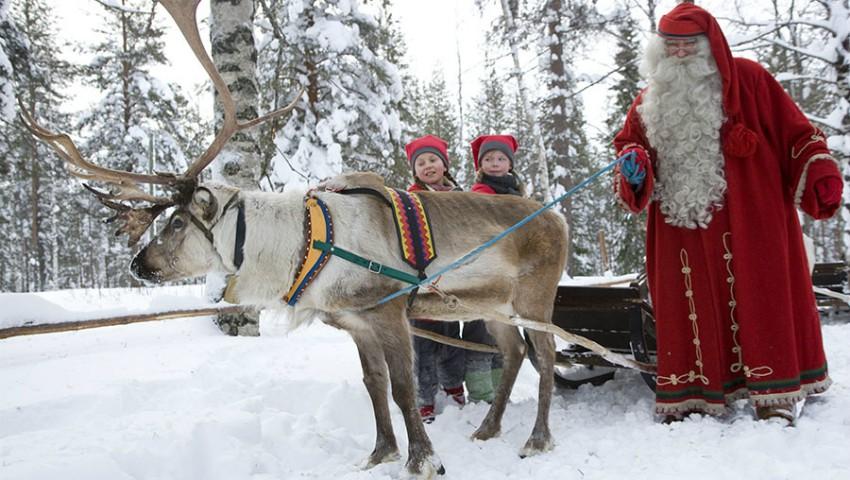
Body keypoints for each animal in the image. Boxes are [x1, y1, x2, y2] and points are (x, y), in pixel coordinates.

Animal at [21, 1, 568, 477]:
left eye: (176, 222)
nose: (139, 264)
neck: (300, 245)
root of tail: (558, 217)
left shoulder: (388, 310)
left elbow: (403, 388)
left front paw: (424, 461)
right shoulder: (354, 323)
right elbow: (374, 387)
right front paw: (380, 454)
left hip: (535, 297)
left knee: (544, 356)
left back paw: (537, 439)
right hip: (492, 306)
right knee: (513, 353)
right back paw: (487, 429)